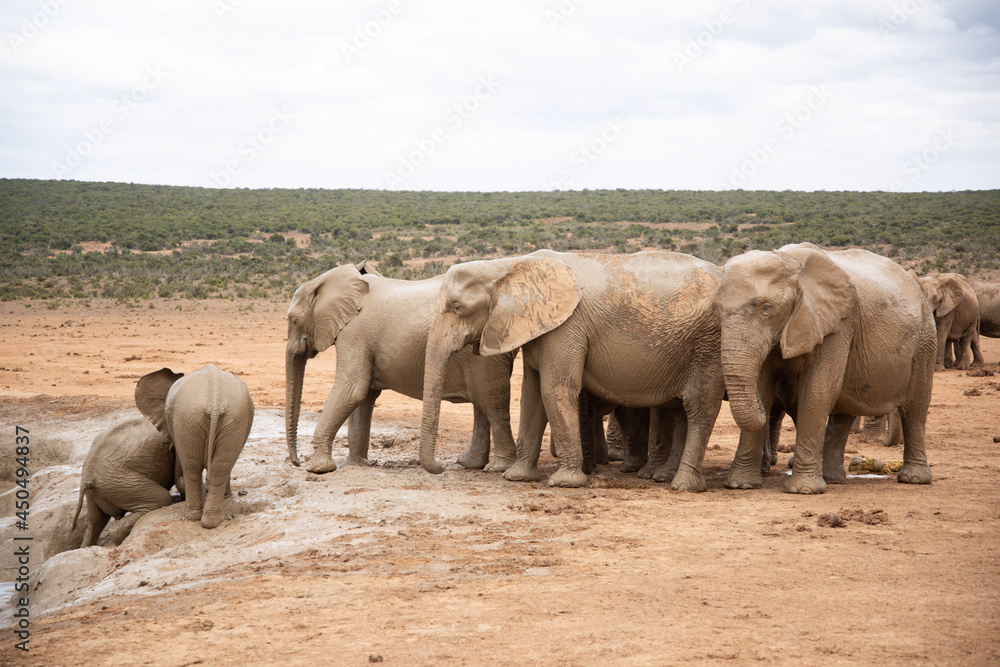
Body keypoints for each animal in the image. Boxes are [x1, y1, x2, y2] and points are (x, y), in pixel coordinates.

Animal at [70, 417, 184, 547]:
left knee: (94, 523)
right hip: (121, 483)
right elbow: (180, 478)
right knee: (162, 498)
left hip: (98, 491)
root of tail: (86, 476)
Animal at [136, 364, 254, 529]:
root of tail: (214, 403)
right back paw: (209, 521)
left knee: (192, 466)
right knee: (218, 467)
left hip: (190, 418)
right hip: (224, 419)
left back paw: (196, 517)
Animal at [285, 261, 517, 475]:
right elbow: (363, 396)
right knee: (482, 404)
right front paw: (355, 465)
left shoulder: (354, 333)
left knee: (491, 404)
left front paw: (317, 469)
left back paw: (494, 467)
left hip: (485, 354)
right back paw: (470, 464)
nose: (296, 463)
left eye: (293, 320)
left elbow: (352, 390)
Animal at [419, 249, 725, 490]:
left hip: (708, 343)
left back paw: (682, 485)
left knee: (699, 407)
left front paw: (564, 483)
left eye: (457, 308)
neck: (508, 265)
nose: (443, 467)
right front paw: (517, 477)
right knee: (682, 410)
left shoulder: (566, 327)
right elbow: (531, 395)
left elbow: (554, 389)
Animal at [716, 243, 936, 494]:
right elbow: (762, 388)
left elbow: (817, 391)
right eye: (717, 310)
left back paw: (914, 479)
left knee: (915, 408)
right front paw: (740, 485)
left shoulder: (837, 324)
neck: (787, 261)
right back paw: (832, 478)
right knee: (845, 408)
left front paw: (803, 490)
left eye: (766, 309)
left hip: (925, 340)